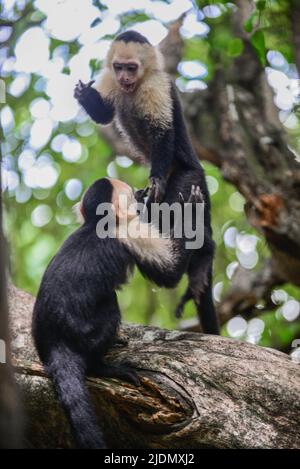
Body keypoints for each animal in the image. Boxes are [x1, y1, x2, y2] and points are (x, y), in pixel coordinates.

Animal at [32, 177, 199, 448]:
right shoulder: (130, 233)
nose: (141, 192)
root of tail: (55, 342)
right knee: (109, 305)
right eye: (132, 194)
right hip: (85, 335)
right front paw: (193, 207)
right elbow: (170, 273)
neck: (97, 223)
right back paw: (101, 367)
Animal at [74, 30, 220, 332]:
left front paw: (156, 179)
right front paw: (83, 94)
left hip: (188, 177)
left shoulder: (156, 86)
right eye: (119, 67)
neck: (135, 87)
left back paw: (203, 258)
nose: (124, 78)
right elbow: (105, 115)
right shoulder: (109, 80)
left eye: (132, 68)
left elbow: (161, 131)